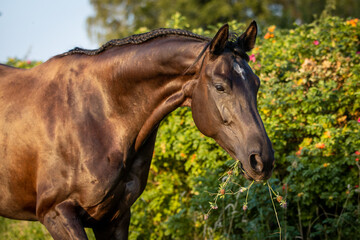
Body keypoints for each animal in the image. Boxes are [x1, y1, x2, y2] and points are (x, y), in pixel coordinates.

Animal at [0, 22, 272, 238]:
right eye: (219, 86)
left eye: (257, 84)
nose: (262, 160)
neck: (97, 116)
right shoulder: (57, 213)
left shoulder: (114, 219)